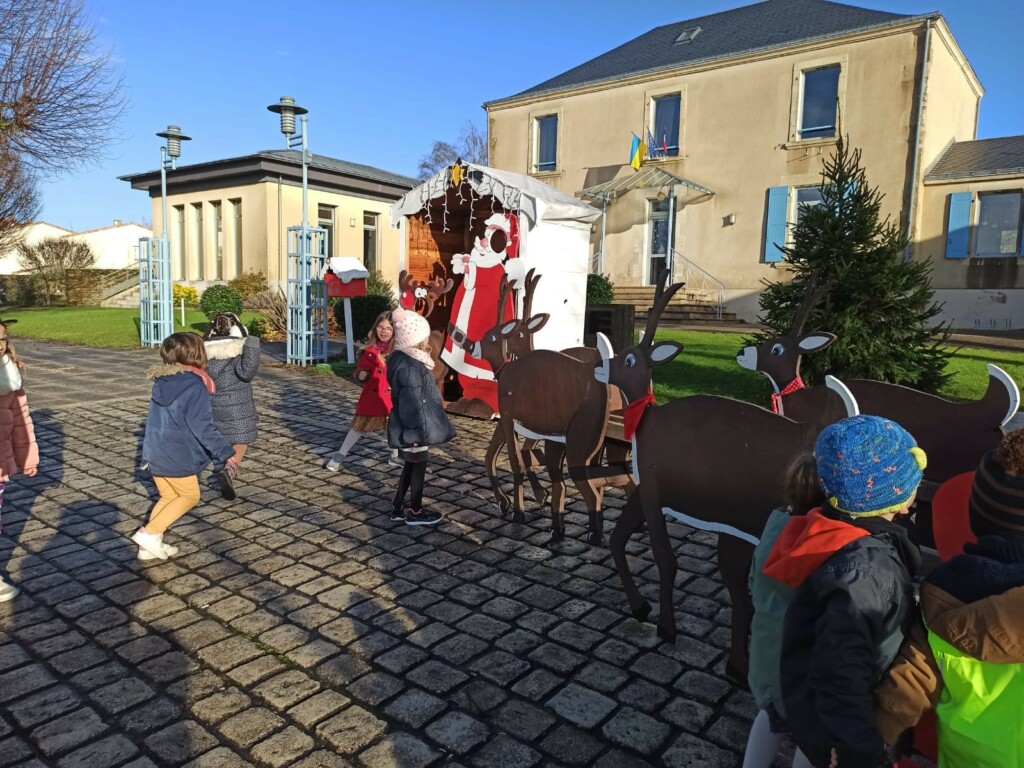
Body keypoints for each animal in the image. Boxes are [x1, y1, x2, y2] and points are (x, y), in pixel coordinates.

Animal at [594, 271, 858, 681]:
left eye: (629, 358)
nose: (599, 365)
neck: (645, 424)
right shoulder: (646, 492)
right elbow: (617, 539)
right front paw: (640, 608)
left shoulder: (653, 490)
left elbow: (665, 559)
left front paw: (666, 628)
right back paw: (742, 668)